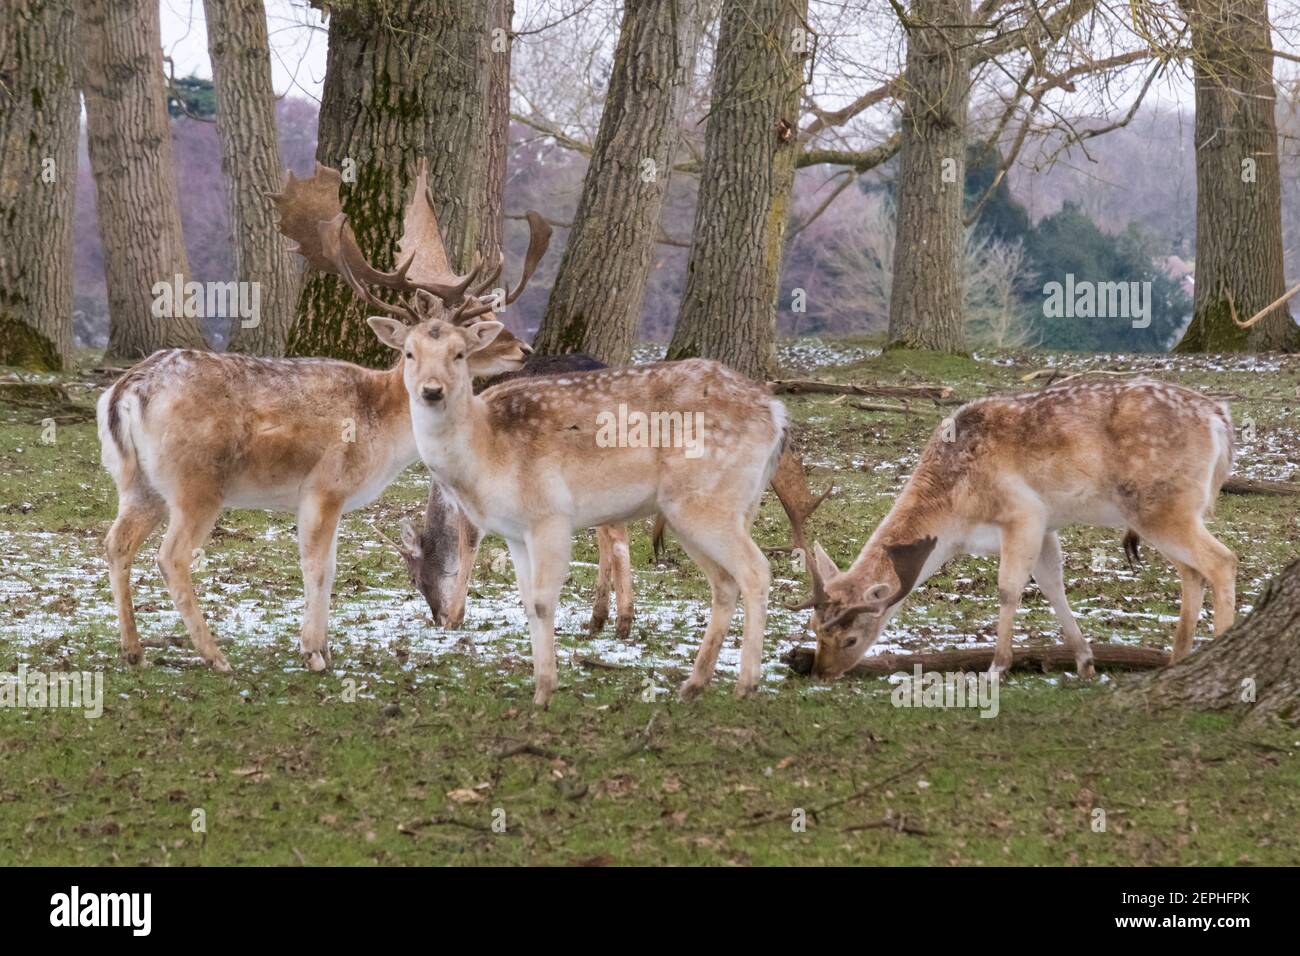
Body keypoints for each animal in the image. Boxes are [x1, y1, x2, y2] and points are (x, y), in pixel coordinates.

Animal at [96, 162, 543, 671]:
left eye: (461, 347)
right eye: (411, 351)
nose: (523, 349)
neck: (384, 430)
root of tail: (126, 389)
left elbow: (326, 566)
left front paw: (320, 645)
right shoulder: (324, 487)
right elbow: (318, 566)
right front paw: (314, 652)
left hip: (138, 483)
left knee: (115, 542)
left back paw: (133, 650)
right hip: (196, 483)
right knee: (171, 556)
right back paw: (216, 656)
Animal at [366, 316, 790, 712]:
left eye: (460, 354)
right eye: (409, 353)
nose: (432, 390)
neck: (485, 450)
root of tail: (777, 412)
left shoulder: (549, 515)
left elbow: (542, 601)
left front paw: (544, 691)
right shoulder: (516, 531)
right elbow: (527, 601)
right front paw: (540, 688)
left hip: (708, 501)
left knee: (756, 570)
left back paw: (746, 684)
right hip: (698, 511)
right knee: (724, 582)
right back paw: (693, 685)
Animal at [790, 377, 1237, 686]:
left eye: (850, 639)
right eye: (814, 629)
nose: (820, 673)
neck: (955, 516)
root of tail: (1220, 420)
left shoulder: (1023, 514)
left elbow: (1008, 588)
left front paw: (997, 667)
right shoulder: (1047, 526)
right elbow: (1053, 585)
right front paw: (1085, 662)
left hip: (1161, 505)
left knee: (1221, 561)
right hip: (1169, 510)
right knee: (1192, 571)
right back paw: (1178, 660)